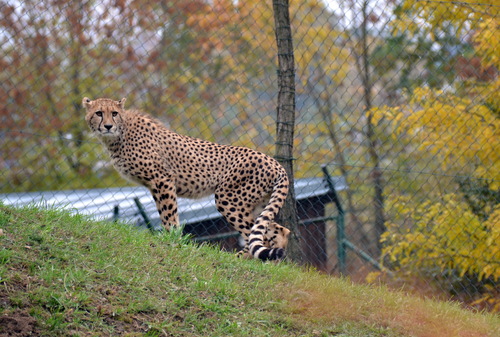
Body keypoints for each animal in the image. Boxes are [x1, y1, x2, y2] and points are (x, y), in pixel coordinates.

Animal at [84, 97, 292, 260]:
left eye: (114, 113)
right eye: (99, 113)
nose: (108, 126)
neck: (120, 134)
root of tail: (275, 163)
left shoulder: (163, 179)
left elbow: (168, 214)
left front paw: (172, 239)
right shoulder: (155, 184)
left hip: (229, 199)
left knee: (255, 234)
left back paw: (240, 258)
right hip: (255, 203)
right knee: (277, 230)